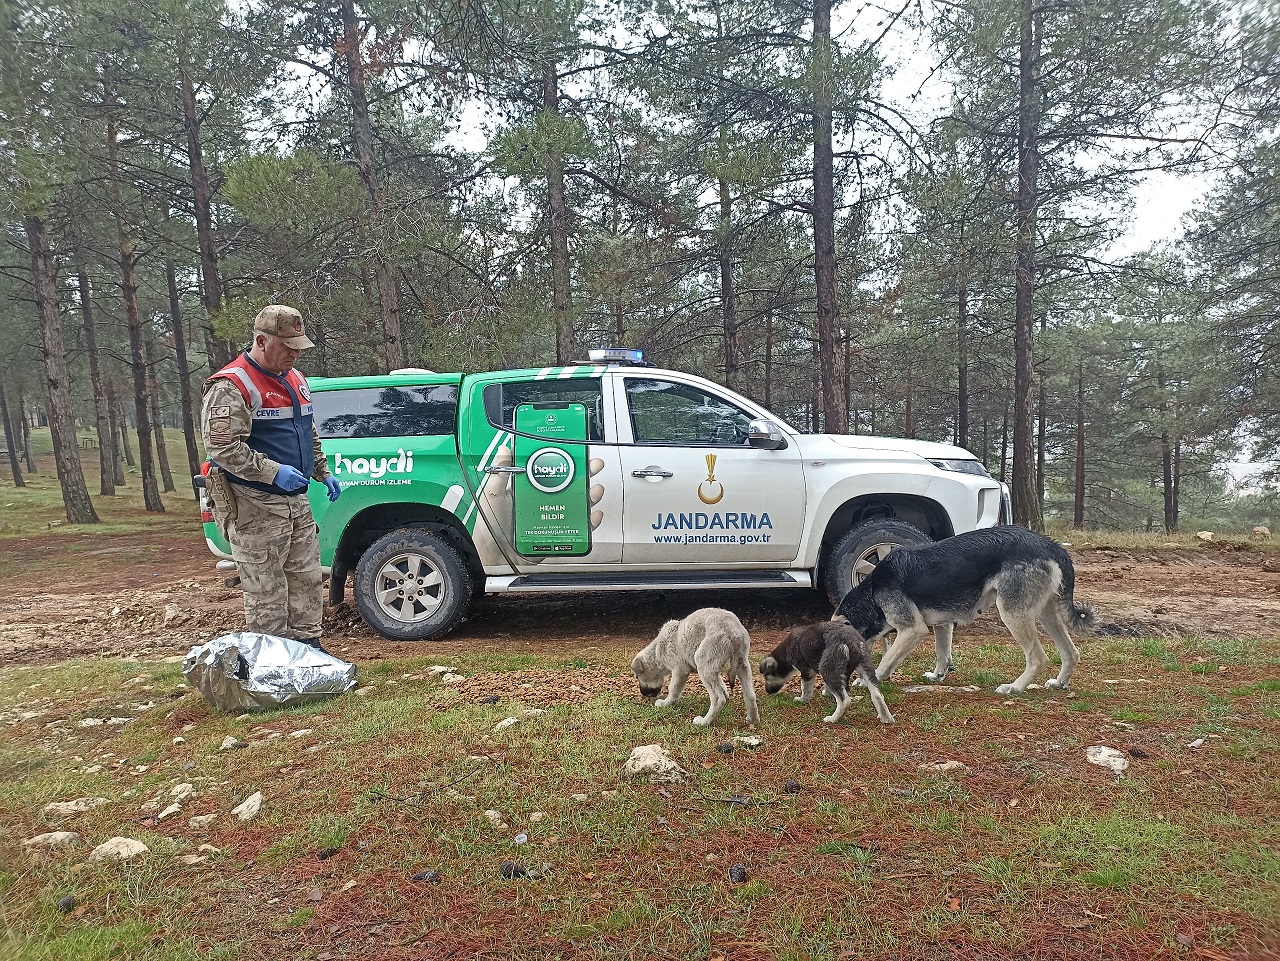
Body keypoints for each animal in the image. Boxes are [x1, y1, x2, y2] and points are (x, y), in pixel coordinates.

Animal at [752, 619, 896, 726]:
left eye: (766, 676)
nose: (767, 692)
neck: (786, 651)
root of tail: (851, 641)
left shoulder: (806, 670)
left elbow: (805, 689)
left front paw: (802, 700)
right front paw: (827, 693)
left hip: (827, 667)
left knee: (844, 700)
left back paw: (833, 719)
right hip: (864, 667)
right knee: (877, 694)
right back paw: (886, 718)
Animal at [834, 527, 1095, 701]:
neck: (872, 590)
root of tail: (1052, 545)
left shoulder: (912, 630)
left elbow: (887, 660)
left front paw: (870, 679)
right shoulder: (942, 624)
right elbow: (942, 654)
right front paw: (937, 676)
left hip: (1013, 614)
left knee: (1038, 658)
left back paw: (1014, 687)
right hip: (1046, 613)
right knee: (1071, 652)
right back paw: (1060, 683)